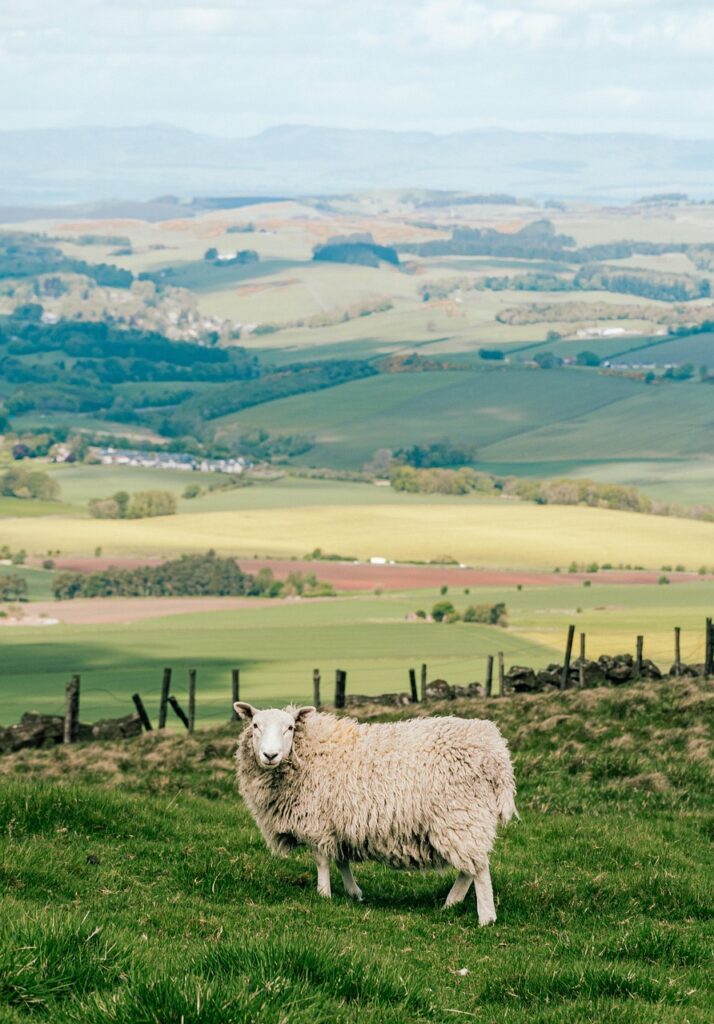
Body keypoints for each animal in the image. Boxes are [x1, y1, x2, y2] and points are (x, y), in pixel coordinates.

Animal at [234, 702, 517, 925]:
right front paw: (354, 893)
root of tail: (497, 752)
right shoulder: (339, 823)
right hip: (465, 819)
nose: (270, 755)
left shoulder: (317, 822)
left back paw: (486, 917)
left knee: (479, 868)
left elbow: (322, 861)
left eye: (290, 728)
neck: (309, 752)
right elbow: (341, 860)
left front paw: (323, 894)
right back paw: (451, 903)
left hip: (461, 814)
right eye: (255, 725)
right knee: (470, 867)